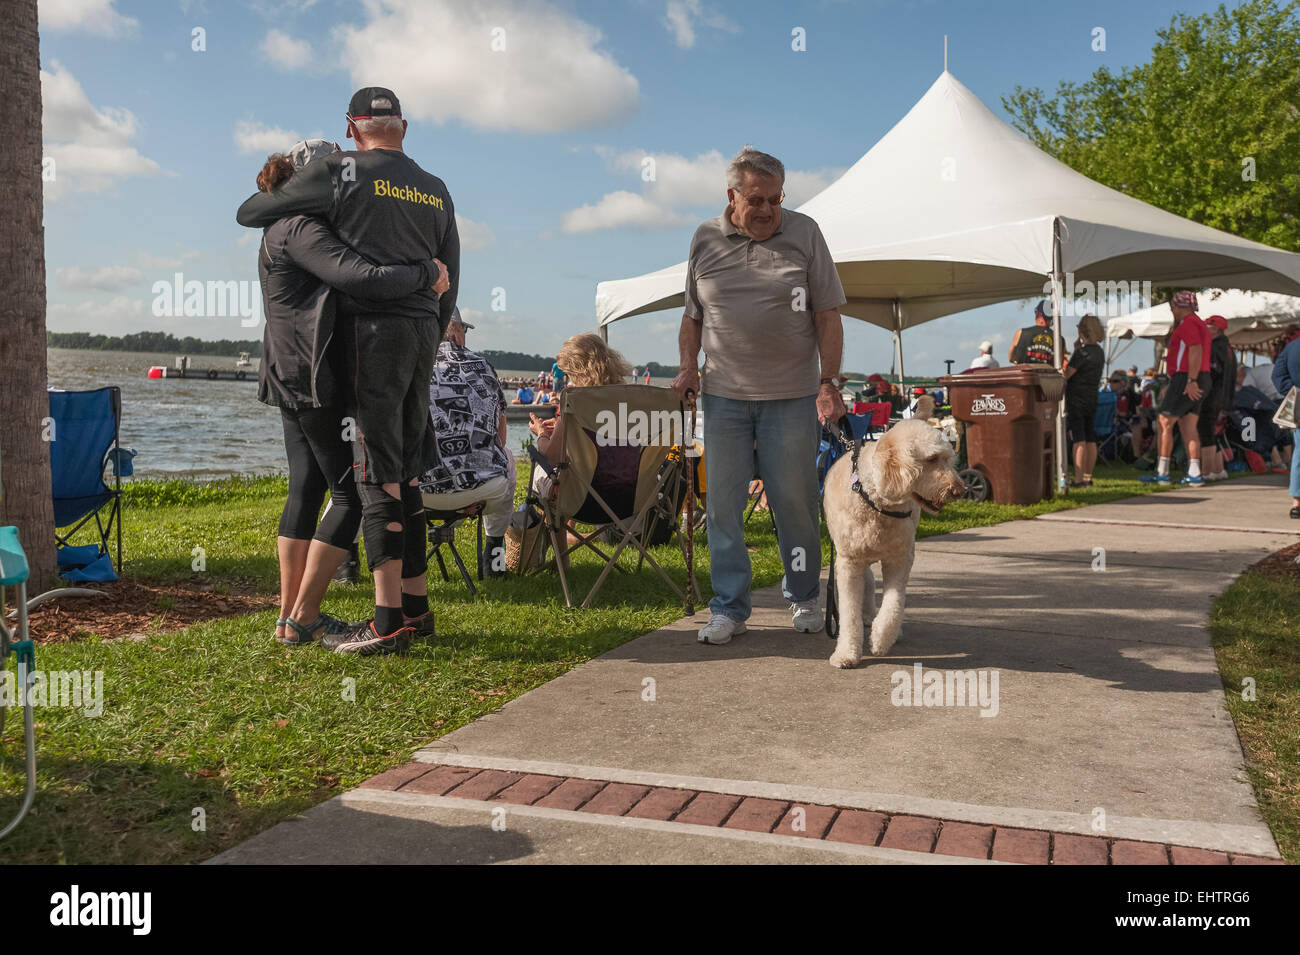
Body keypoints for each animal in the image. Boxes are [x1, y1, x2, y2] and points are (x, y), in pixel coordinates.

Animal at [821, 420, 967, 670]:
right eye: (931, 459)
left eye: (949, 459)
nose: (959, 490)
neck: (877, 503)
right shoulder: (849, 562)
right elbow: (849, 613)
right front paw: (846, 653)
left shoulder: (900, 559)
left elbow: (894, 604)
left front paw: (881, 639)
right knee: (868, 581)